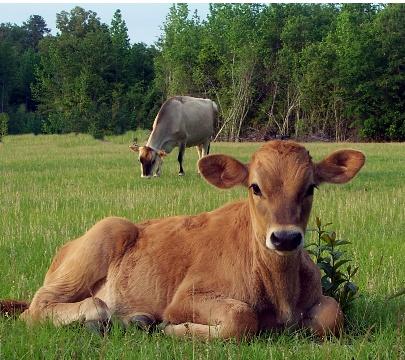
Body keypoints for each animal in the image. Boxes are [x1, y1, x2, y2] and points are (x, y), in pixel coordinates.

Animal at [0, 141, 366, 340]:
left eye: (310, 187)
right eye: (255, 187)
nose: (286, 238)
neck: (281, 293)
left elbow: (333, 315)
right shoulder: (184, 298)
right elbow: (240, 318)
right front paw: (171, 330)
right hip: (105, 233)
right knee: (38, 308)